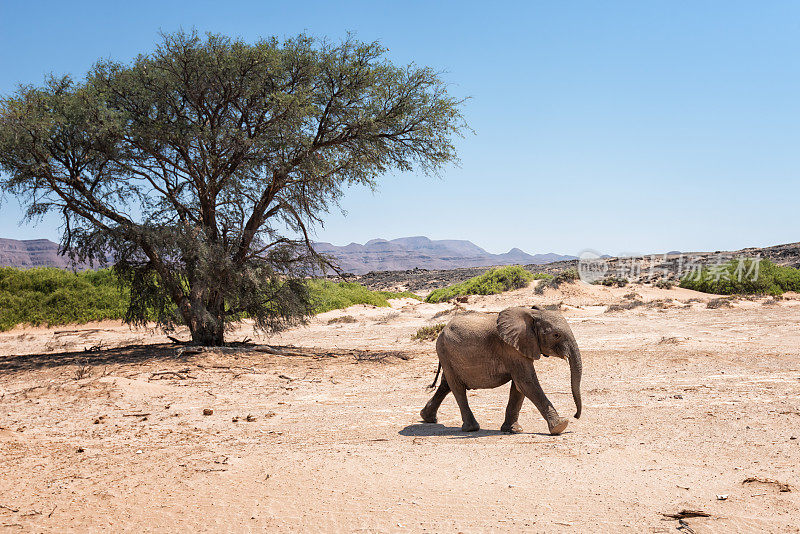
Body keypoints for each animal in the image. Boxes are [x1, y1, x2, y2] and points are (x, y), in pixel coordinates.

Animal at [422, 308, 584, 438]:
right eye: (556, 335)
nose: (575, 416)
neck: (532, 314)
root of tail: (443, 329)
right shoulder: (510, 348)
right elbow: (526, 382)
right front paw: (560, 426)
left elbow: (519, 387)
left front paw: (513, 430)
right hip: (444, 351)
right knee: (457, 388)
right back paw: (471, 428)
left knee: (446, 384)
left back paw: (427, 417)